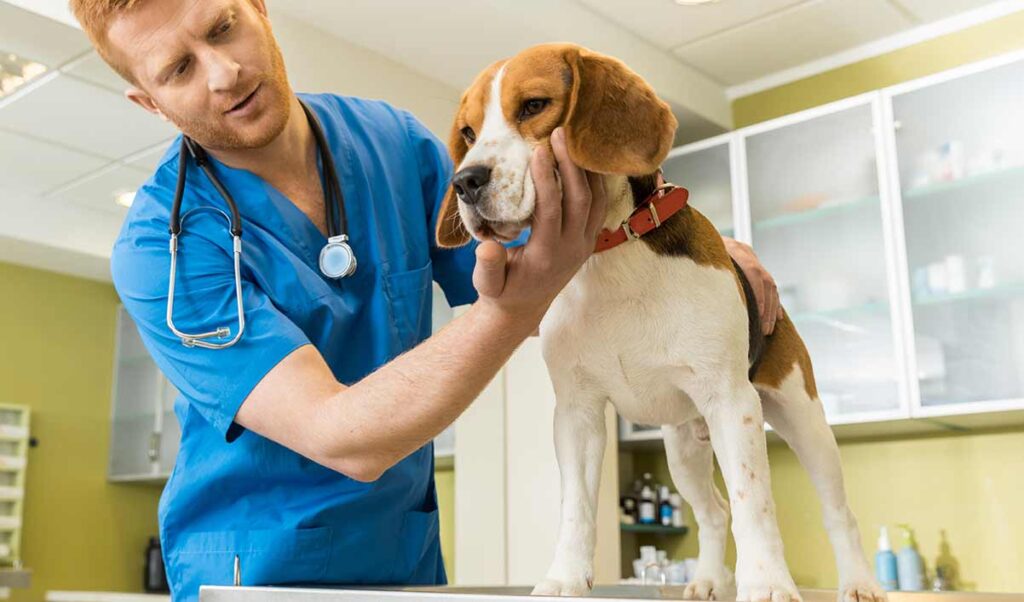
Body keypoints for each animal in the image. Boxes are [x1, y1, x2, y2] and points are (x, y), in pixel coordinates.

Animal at [436, 43, 884, 602]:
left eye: (534, 105)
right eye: (468, 132)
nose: (465, 182)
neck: (613, 250)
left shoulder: (732, 403)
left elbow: (754, 502)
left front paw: (767, 583)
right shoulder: (578, 413)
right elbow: (576, 508)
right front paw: (565, 577)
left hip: (804, 420)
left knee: (836, 511)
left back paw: (860, 582)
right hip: (683, 447)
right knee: (713, 513)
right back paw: (709, 579)